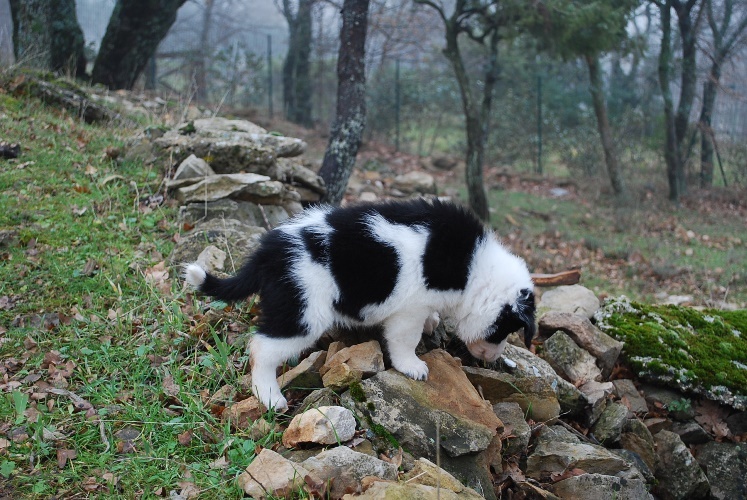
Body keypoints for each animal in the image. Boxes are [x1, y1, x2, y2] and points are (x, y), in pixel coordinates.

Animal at [187, 199, 536, 410]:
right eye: (505, 330)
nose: (493, 358)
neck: (476, 270)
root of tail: (268, 252)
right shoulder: (409, 310)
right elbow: (404, 341)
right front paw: (412, 366)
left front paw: (433, 322)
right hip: (304, 310)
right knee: (262, 348)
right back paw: (270, 396)